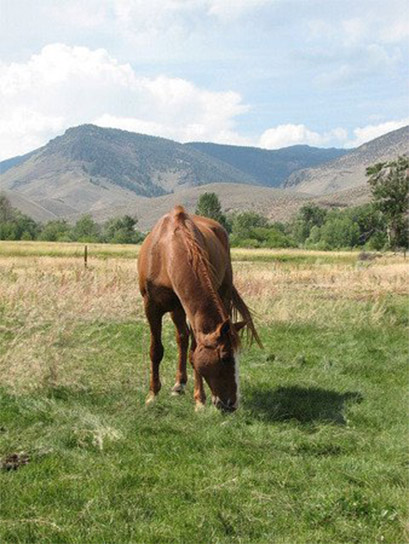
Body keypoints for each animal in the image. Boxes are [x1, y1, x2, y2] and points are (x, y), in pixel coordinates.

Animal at [138, 206, 262, 410]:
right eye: (225, 357)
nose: (232, 404)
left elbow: (194, 352)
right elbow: (156, 350)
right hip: (176, 309)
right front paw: (152, 395)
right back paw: (178, 384)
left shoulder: (193, 312)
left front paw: (200, 400)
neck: (167, 253)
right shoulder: (151, 306)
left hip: (221, 295)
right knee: (181, 337)